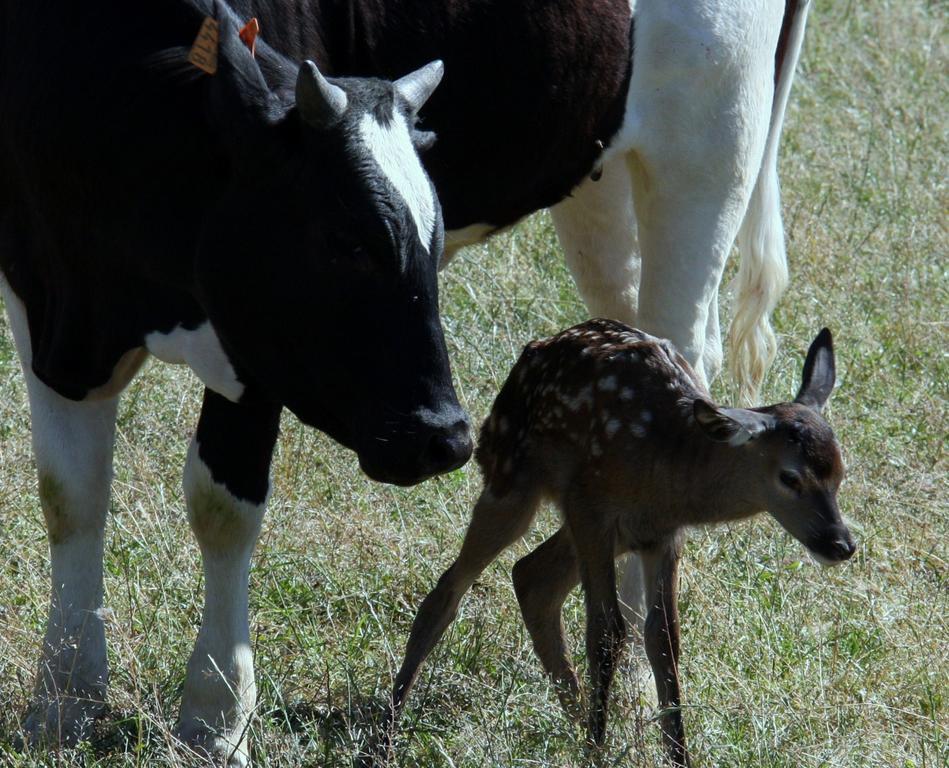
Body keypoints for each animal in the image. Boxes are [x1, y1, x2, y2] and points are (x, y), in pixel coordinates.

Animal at [1, 0, 816, 760]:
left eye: (430, 236)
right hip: (598, 180)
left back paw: (645, 687)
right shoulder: (45, 299)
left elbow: (221, 508)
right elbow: (69, 496)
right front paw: (63, 700)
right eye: (345, 238)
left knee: (684, 346)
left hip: (707, 149)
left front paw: (214, 717)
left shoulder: (256, 345)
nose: (445, 438)